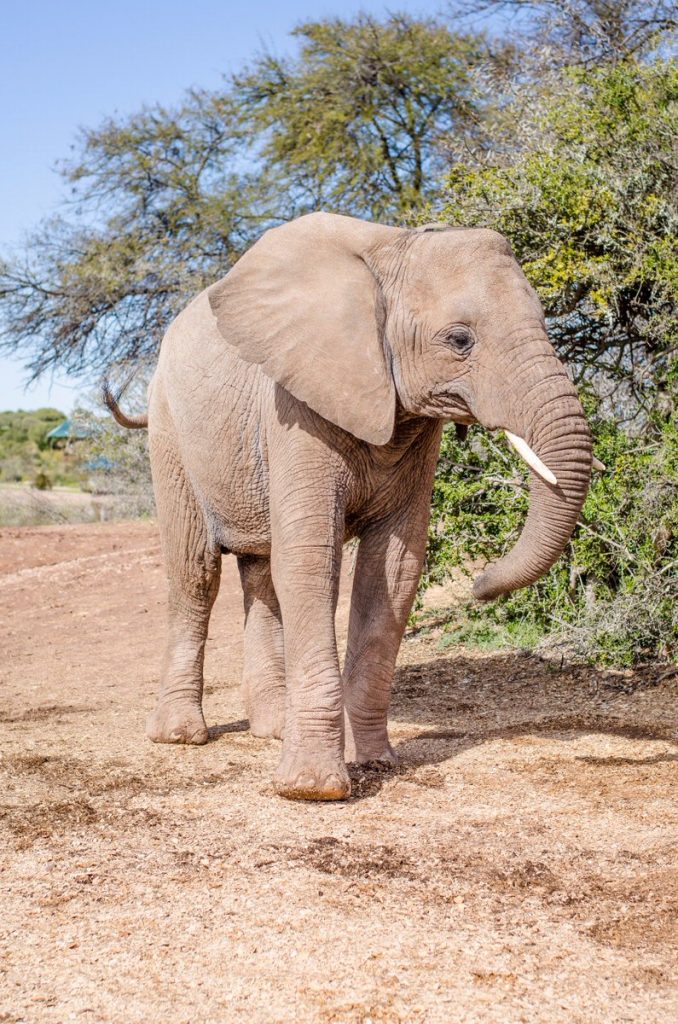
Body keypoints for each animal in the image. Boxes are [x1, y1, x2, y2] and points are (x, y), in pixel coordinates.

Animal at [106, 211, 594, 802]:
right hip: (170, 435)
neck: (394, 249)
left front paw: (378, 763)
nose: (480, 586)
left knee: (261, 574)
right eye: (460, 340)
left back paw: (272, 729)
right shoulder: (298, 404)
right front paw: (312, 790)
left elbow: (395, 569)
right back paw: (180, 736)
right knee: (195, 572)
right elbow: (312, 561)